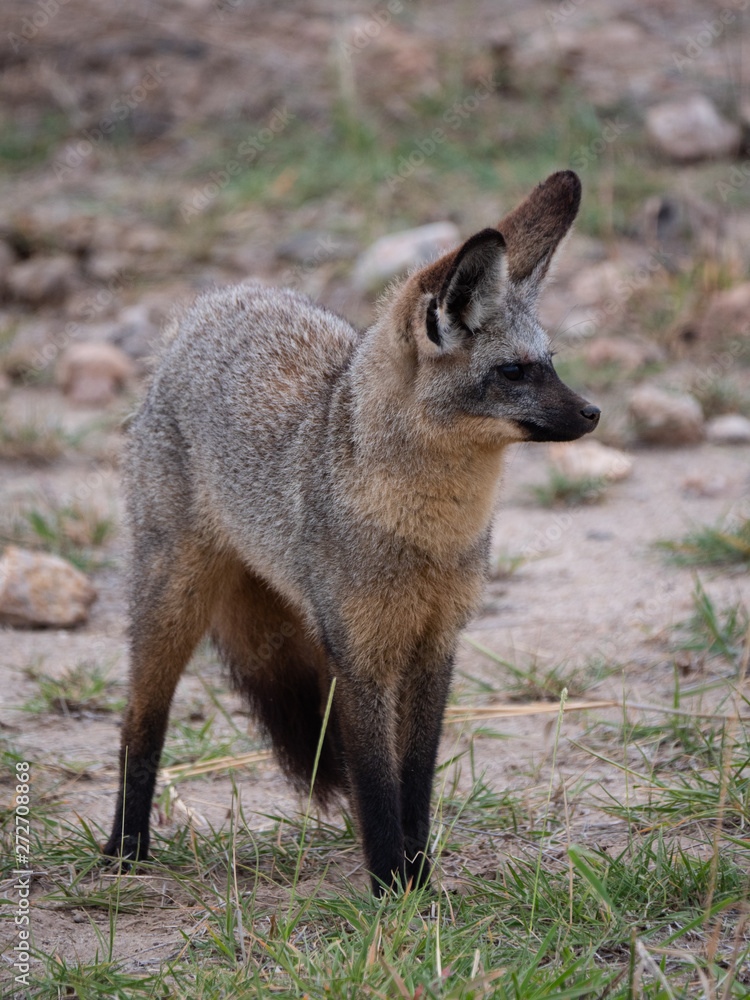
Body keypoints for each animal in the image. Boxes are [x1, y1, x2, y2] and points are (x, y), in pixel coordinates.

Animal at [104, 170, 600, 894]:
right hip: (172, 606)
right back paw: (125, 848)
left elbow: (413, 779)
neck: (428, 536)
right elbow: (375, 781)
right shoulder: (362, 655)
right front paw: (390, 885)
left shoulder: (434, 647)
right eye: (514, 372)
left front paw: (418, 876)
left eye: (551, 363)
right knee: (140, 726)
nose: (593, 413)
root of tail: (215, 304)